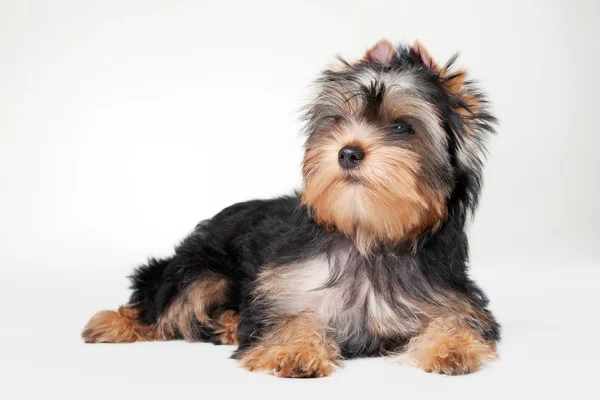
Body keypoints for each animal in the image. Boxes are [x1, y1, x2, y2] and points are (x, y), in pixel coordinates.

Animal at [82, 39, 500, 378]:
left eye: (402, 128)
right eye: (337, 120)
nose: (348, 152)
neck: (366, 233)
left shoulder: (447, 292)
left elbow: (457, 320)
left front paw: (452, 347)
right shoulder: (284, 285)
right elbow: (289, 317)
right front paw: (294, 350)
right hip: (201, 265)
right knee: (166, 294)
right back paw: (116, 323)